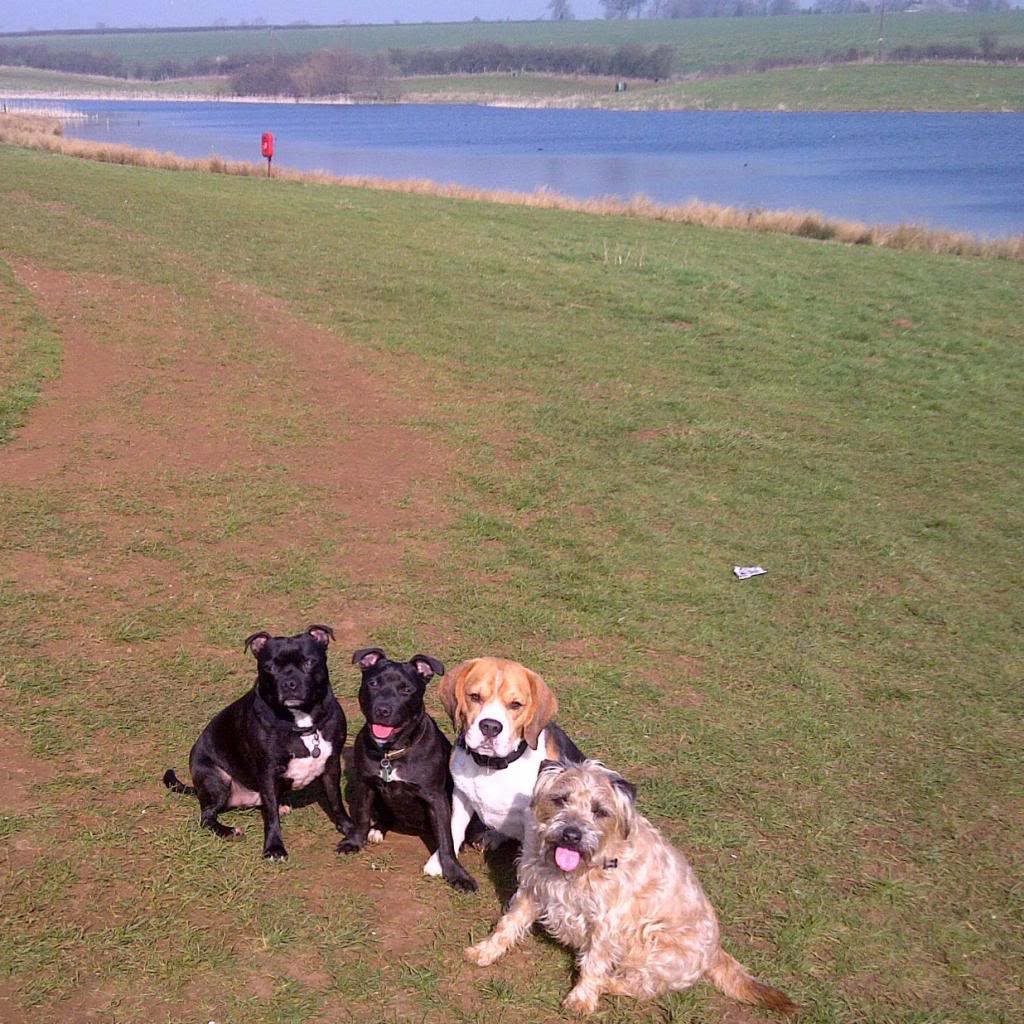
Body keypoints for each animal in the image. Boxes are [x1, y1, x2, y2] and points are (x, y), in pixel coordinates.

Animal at [161, 626, 350, 860]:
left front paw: (349, 827)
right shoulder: (267, 772)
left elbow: (336, 800)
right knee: (206, 816)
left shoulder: (332, 765)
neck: (301, 722)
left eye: (309, 662)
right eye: (269, 668)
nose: (289, 684)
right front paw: (274, 848)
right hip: (217, 779)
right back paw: (228, 830)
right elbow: (271, 817)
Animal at [337, 651, 477, 892]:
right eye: (373, 683)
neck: (391, 752)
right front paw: (355, 841)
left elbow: (446, 840)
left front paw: (456, 874)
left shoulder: (436, 798)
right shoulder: (365, 784)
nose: (383, 710)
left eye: (406, 690)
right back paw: (377, 829)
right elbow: (362, 816)